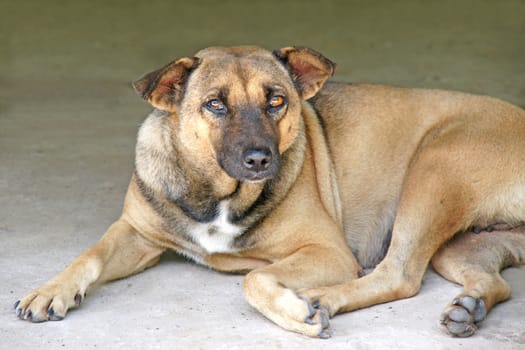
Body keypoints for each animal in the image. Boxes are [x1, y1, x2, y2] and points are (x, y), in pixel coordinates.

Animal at [13, 45, 524, 338]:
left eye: (277, 100)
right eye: (214, 105)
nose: (260, 159)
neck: (219, 192)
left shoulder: (326, 252)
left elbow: (254, 279)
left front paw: (295, 308)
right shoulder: (136, 233)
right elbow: (89, 256)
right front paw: (50, 290)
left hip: (433, 172)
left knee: (398, 276)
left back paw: (321, 301)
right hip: (463, 244)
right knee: (495, 283)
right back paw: (469, 307)